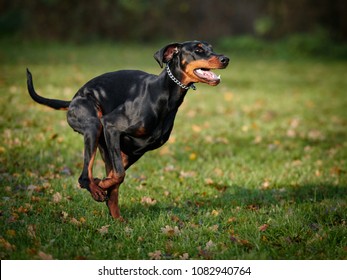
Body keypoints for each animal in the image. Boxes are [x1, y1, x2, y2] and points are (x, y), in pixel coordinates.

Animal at [26, 40, 228, 220]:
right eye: (198, 49)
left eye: (211, 48)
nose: (226, 59)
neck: (163, 95)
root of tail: (73, 100)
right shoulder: (111, 127)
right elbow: (118, 175)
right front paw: (100, 185)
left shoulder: (136, 151)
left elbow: (117, 178)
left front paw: (102, 184)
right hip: (94, 126)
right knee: (84, 177)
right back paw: (97, 190)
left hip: (108, 147)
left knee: (109, 187)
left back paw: (117, 219)